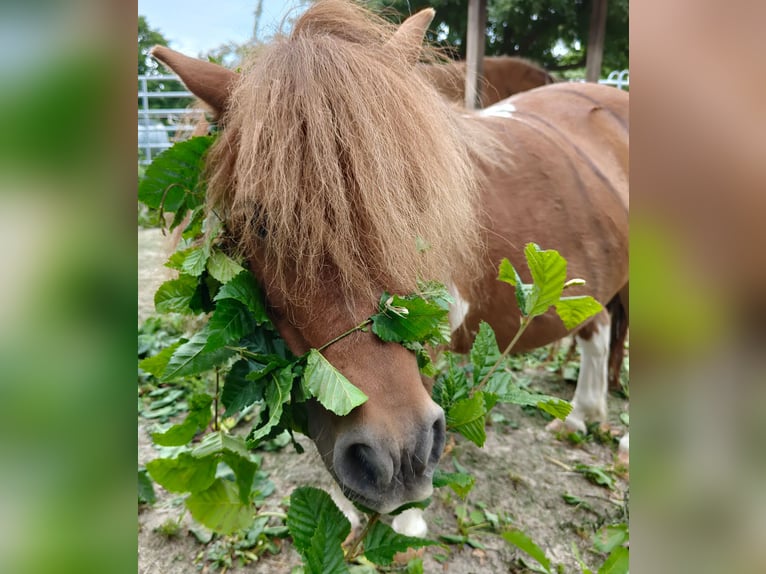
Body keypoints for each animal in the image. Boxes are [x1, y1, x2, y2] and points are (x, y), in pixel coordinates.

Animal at [152, 0, 632, 532]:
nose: (396, 457)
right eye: (260, 223)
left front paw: (406, 524)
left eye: (412, 202)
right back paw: (580, 416)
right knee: (598, 329)